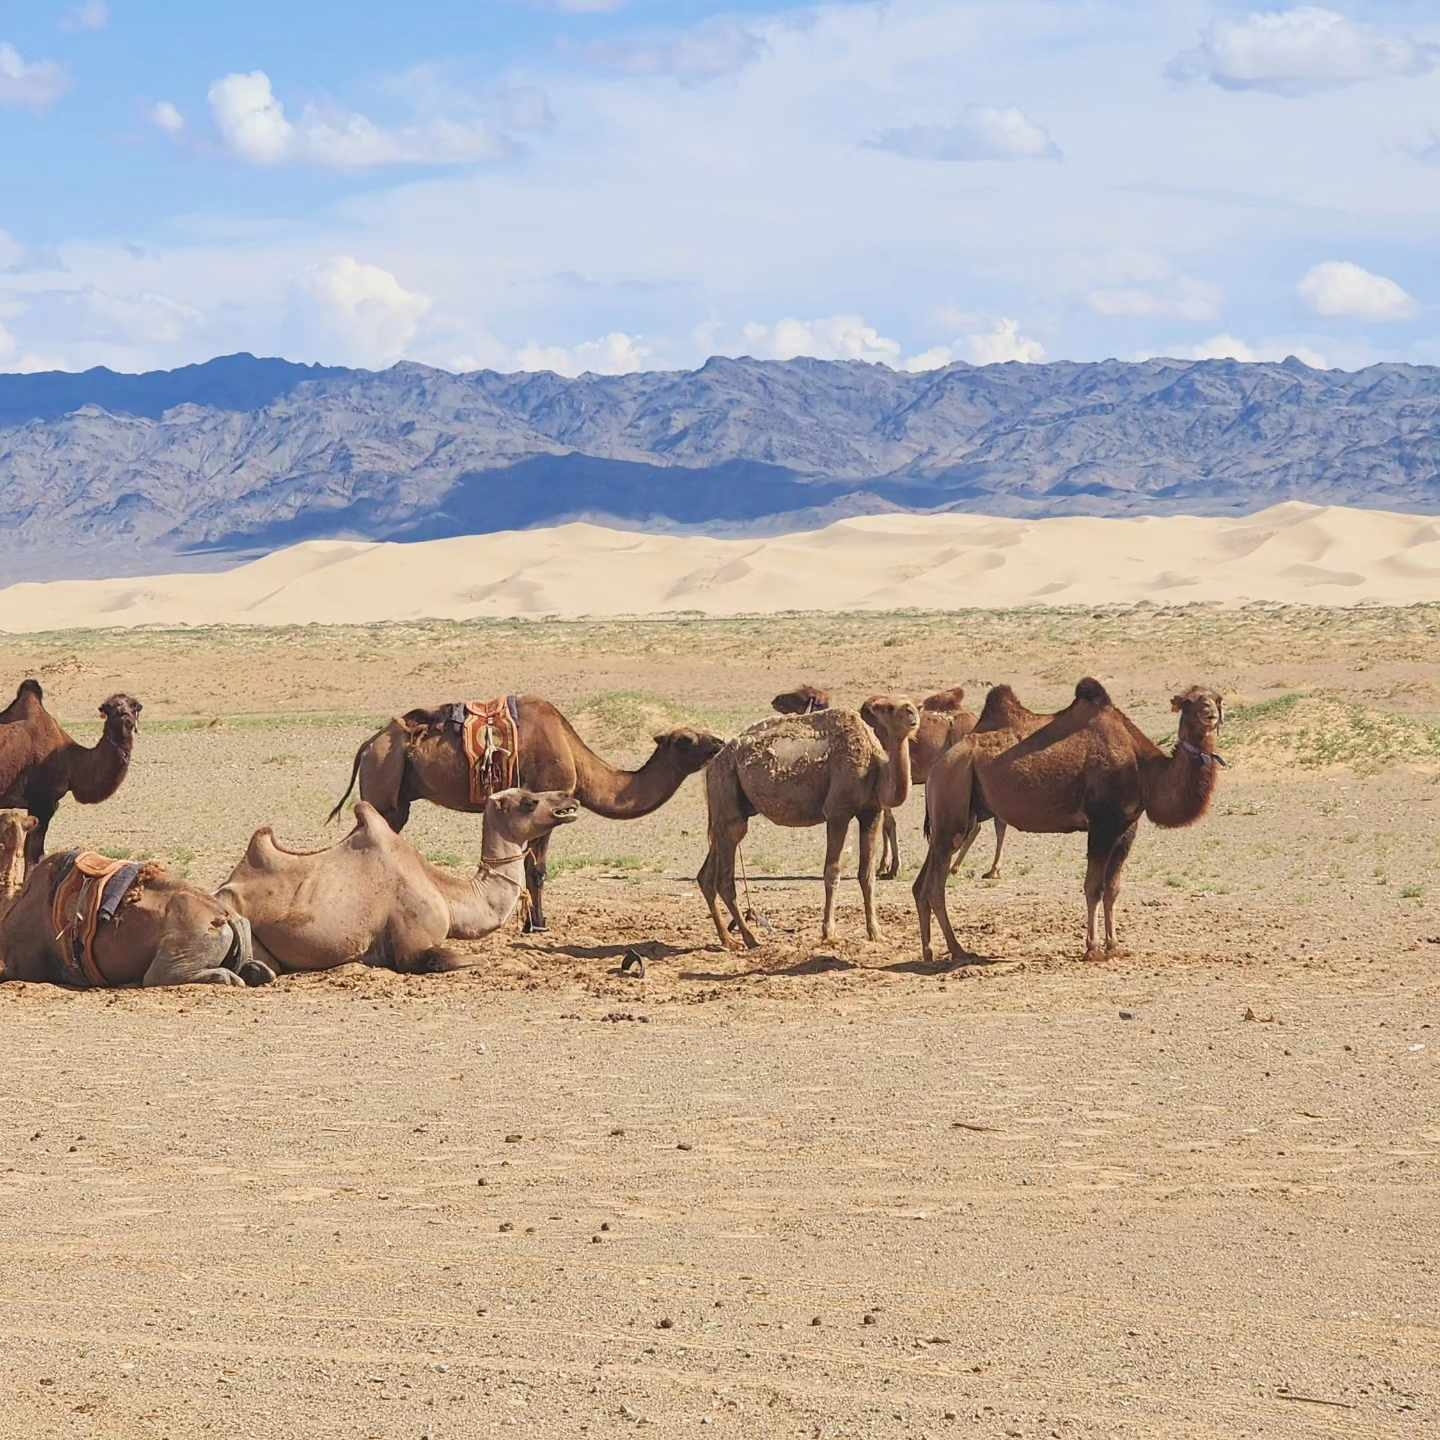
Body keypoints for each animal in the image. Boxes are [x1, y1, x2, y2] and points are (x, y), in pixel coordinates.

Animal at [0, 676, 143, 858]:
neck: (72, 761)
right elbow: (34, 854)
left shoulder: (45, 803)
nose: (124, 715)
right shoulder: (43, 801)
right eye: (108, 707)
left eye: (134, 705)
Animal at [218, 789, 578, 979]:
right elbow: (469, 960)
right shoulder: (413, 947)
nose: (568, 798)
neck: (447, 895)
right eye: (529, 801)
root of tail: (223, 887)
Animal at [331, 694, 725, 933]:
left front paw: (528, 921)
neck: (576, 758)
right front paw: (538, 923)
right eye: (685, 740)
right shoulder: (548, 808)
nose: (720, 742)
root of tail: (368, 745)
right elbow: (537, 870)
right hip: (386, 793)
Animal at [699, 694, 921, 950]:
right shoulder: (837, 812)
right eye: (889, 708)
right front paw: (829, 933)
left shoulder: (871, 813)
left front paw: (875, 933)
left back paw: (728, 938)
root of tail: (713, 764)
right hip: (726, 789)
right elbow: (832, 871)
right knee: (725, 875)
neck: (872, 762)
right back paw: (750, 938)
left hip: (724, 806)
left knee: (707, 875)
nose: (912, 713)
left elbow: (867, 874)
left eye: (912, 704)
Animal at [915, 676, 1221, 967]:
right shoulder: (1101, 823)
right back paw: (959, 950)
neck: (1145, 769)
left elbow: (1113, 889)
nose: (1211, 714)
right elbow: (1094, 887)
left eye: (1217, 698)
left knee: (921, 884)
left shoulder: (1126, 827)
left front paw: (1114, 946)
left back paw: (929, 952)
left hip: (955, 815)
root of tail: (939, 765)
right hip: (953, 796)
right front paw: (1093, 948)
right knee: (935, 887)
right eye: (1189, 702)